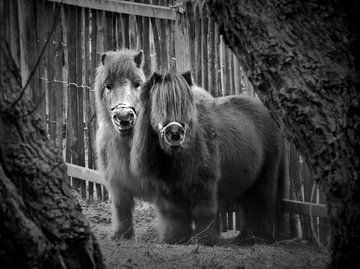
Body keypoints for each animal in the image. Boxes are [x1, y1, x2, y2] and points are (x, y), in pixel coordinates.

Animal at [131, 71, 286, 245]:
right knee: (250, 207)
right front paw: (176, 239)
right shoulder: (167, 187)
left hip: (265, 175)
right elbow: (174, 213)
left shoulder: (203, 182)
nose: (175, 134)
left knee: (263, 202)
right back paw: (246, 237)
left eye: (186, 108)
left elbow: (203, 211)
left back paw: (262, 237)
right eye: (160, 107)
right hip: (246, 182)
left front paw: (205, 239)